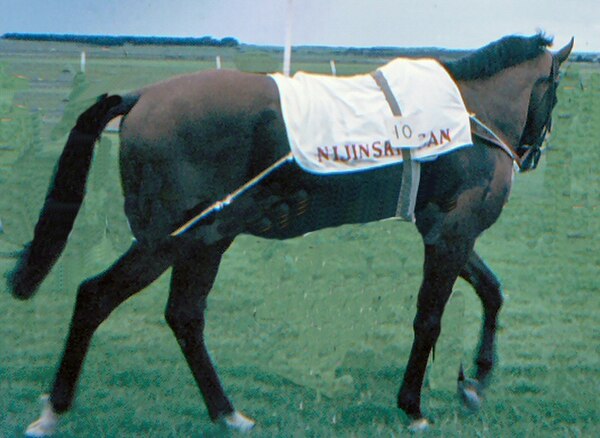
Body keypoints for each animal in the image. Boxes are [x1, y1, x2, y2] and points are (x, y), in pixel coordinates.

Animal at [8, 34, 572, 434]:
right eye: (556, 91)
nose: (529, 153)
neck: (466, 116)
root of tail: (142, 95)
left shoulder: (446, 230)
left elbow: (492, 293)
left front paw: (475, 382)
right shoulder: (453, 233)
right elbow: (429, 319)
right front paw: (413, 405)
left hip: (207, 237)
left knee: (184, 316)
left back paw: (227, 413)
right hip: (169, 238)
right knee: (95, 297)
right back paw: (54, 410)